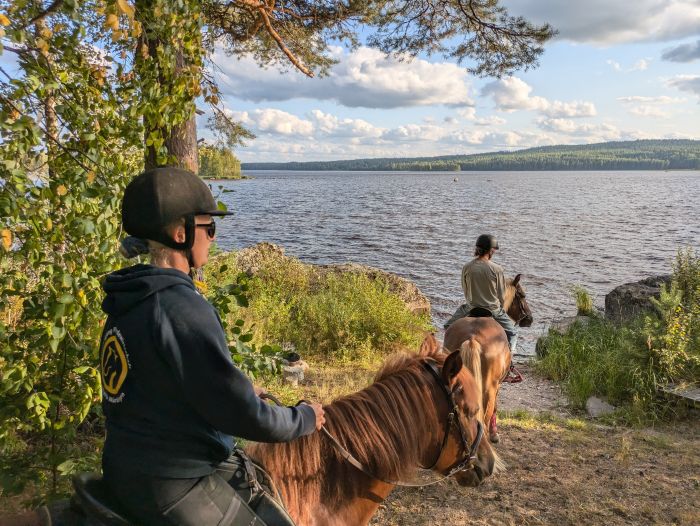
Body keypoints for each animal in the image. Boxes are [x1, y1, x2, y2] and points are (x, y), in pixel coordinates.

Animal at [446, 276, 532, 446]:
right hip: (489, 389)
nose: (529, 319)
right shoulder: (498, 385)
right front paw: (495, 434)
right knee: (485, 417)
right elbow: (496, 409)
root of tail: (472, 338)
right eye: (522, 295)